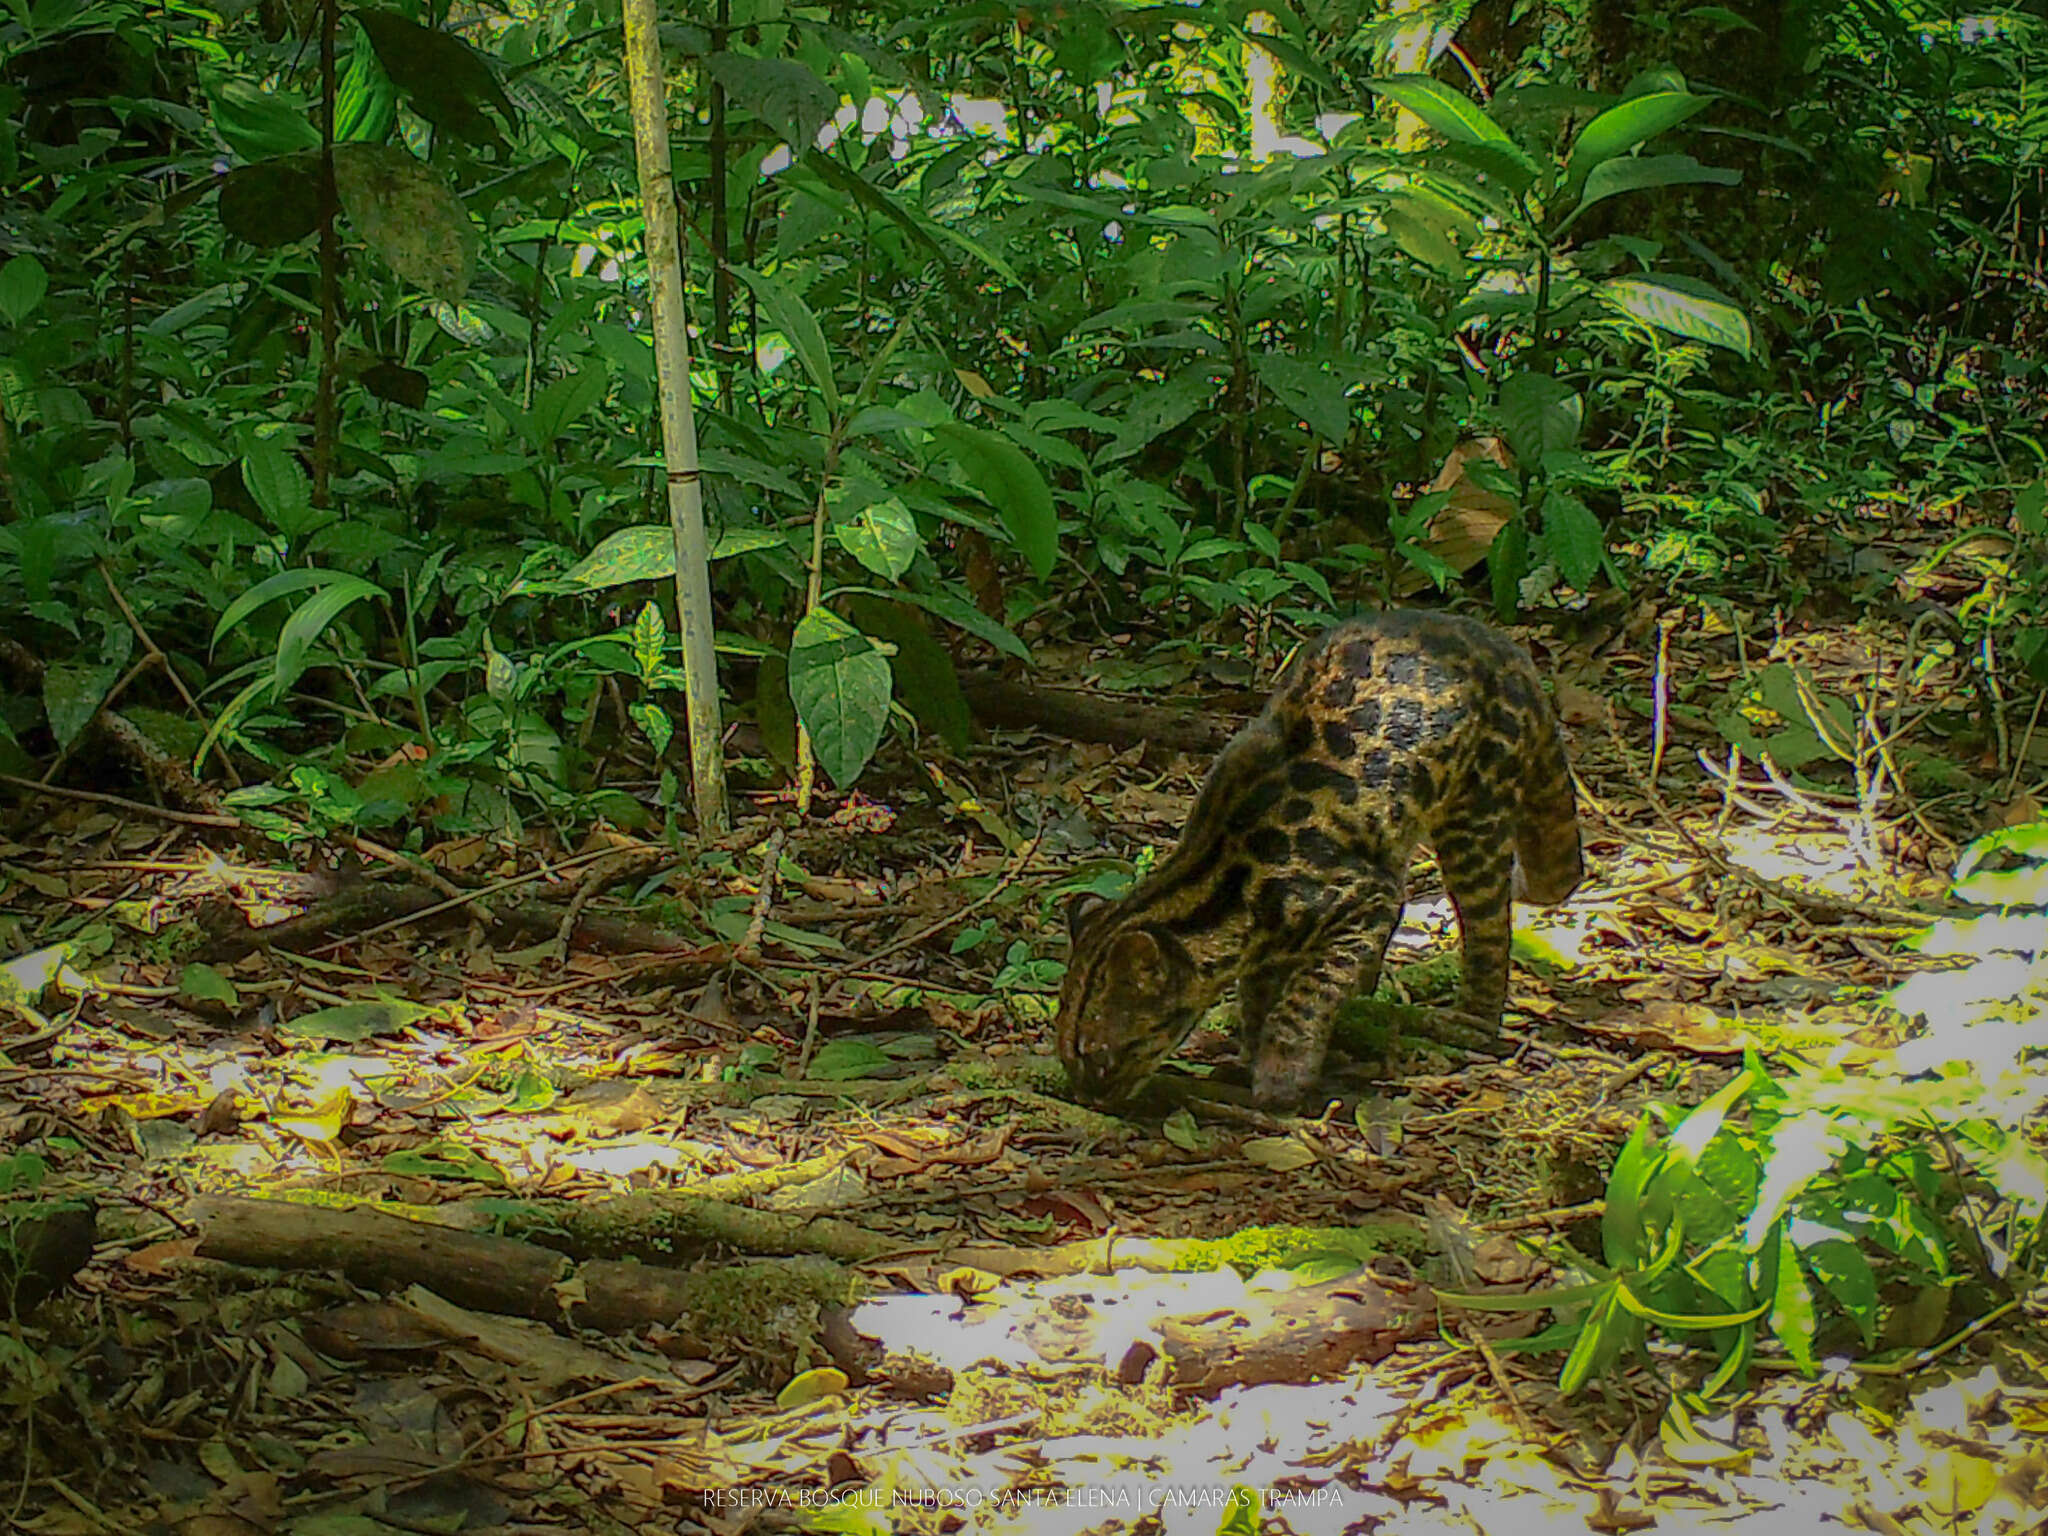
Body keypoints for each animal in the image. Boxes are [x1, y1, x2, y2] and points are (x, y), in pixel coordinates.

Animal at [1056, 618, 1581, 1122]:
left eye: (1098, 1057)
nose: (1087, 1099)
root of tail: (1506, 651)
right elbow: (1260, 993)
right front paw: (1252, 1052)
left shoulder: (1366, 896)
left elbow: (1305, 992)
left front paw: (1281, 1073)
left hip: (1474, 815)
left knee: (1489, 931)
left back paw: (1472, 1020)